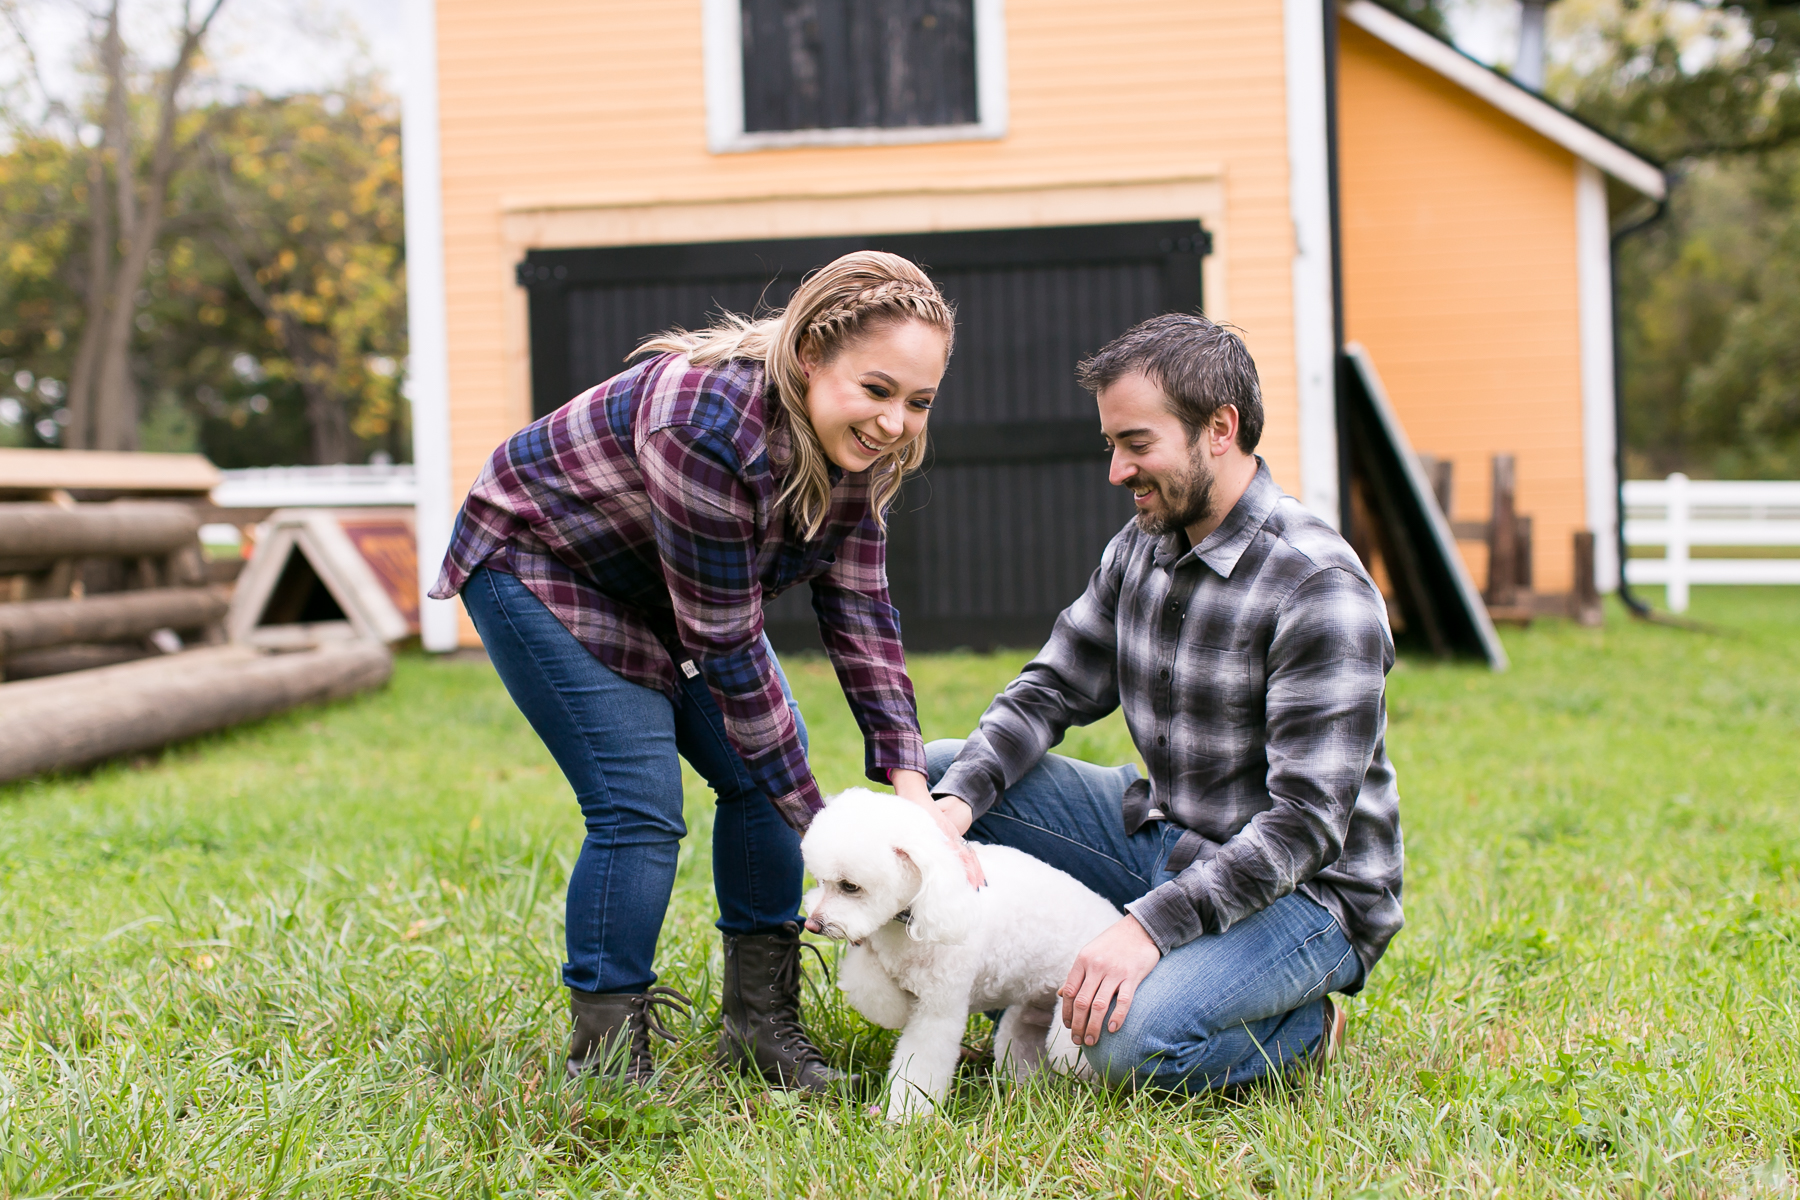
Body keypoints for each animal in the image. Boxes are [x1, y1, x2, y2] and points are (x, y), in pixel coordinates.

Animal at [806, 788, 1123, 1115]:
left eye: (850, 886)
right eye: (821, 881)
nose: (812, 924)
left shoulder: (938, 1009)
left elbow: (919, 1067)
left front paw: (905, 1116)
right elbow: (876, 992)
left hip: (1074, 1021)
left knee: (1073, 1061)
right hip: (1024, 1023)